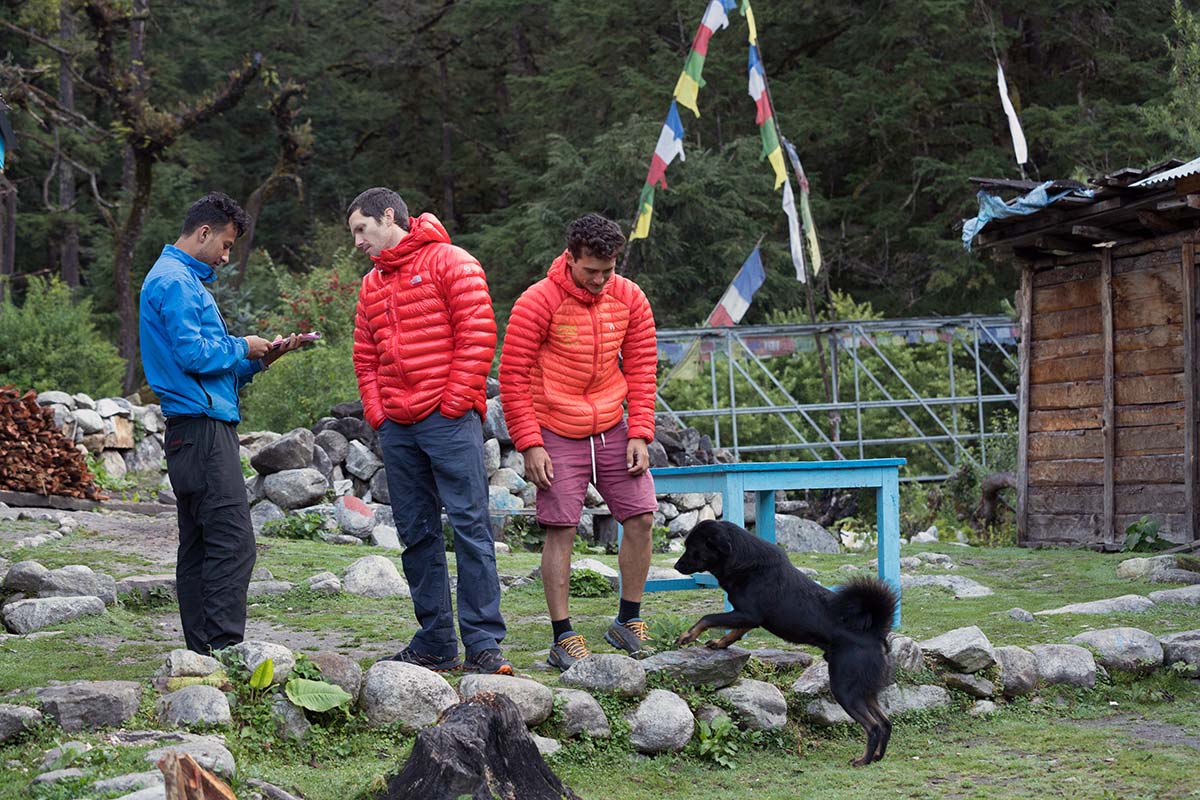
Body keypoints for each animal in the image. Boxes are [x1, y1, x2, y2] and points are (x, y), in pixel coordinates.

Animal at [672, 522, 897, 767]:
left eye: (693, 549)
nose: (676, 565)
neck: (742, 560)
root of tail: (874, 632)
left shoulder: (747, 614)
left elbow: (708, 618)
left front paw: (688, 635)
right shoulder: (748, 618)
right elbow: (733, 633)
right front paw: (720, 643)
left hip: (844, 688)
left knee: (873, 727)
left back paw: (863, 760)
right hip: (864, 689)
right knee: (885, 723)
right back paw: (877, 757)